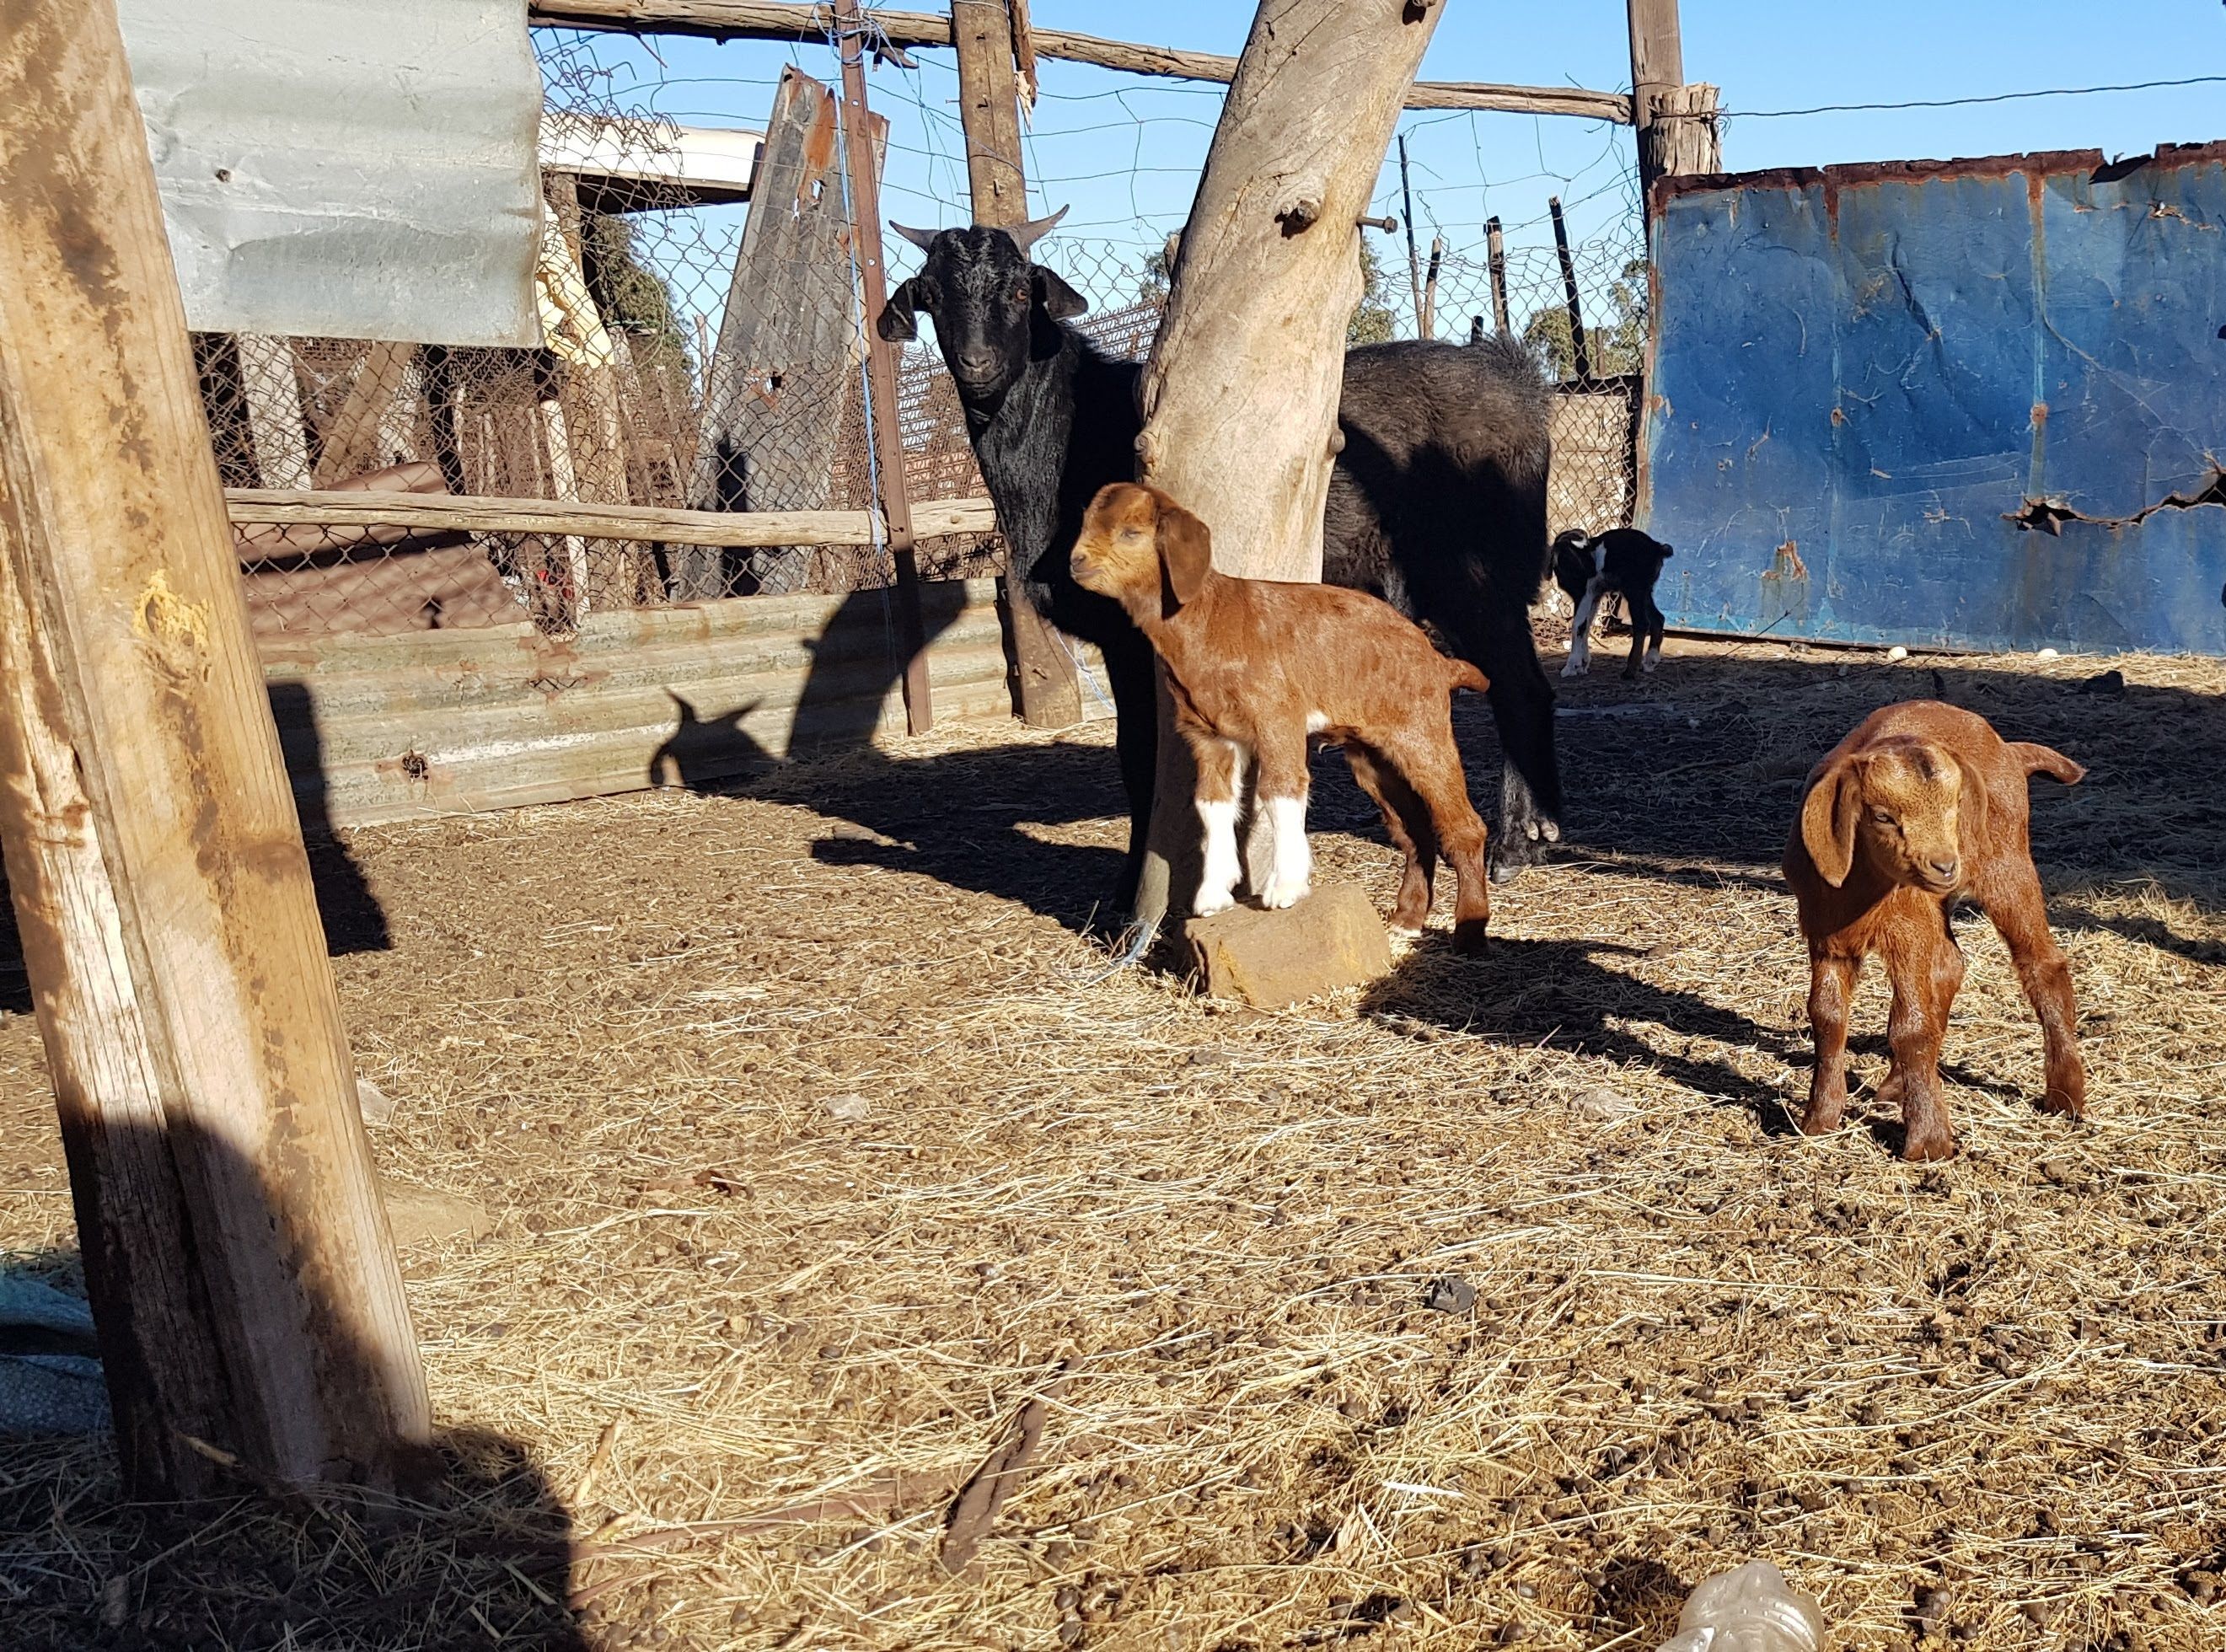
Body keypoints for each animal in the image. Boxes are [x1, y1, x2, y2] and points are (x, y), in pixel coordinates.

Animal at [877, 217, 1558, 904]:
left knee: (1517, 684)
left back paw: (1513, 845)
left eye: (1021, 293)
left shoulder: (1133, 635)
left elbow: (1138, 752)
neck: (1063, 439)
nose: (977, 365)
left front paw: (1128, 889)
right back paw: (1538, 830)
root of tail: (1519, 382)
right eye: (932, 295)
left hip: (1475, 572)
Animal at [1558, 529, 1674, 685]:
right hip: (1644, 592)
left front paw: (1572, 666)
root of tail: (1657, 547)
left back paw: (1630, 671)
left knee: (1642, 624)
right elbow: (1586, 625)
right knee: (1658, 619)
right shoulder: (1595, 595)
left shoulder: (1583, 594)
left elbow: (1578, 625)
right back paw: (1650, 661)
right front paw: (1582, 664)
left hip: (1634, 591)